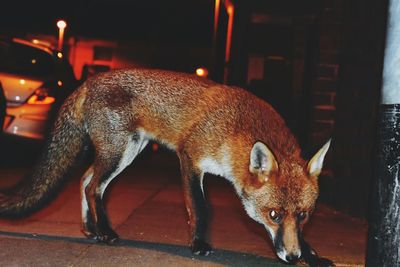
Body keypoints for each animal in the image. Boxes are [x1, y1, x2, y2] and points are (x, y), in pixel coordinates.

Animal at [0, 68, 332, 266]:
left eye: (304, 215)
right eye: (273, 215)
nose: (293, 257)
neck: (234, 128)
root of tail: (88, 81)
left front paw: (312, 255)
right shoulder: (190, 158)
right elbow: (200, 208)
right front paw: (198, 244)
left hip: (127, 152)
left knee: (84, 180)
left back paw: (90, 228)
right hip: (120, 153)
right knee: (94, 186)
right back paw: (105, 232)